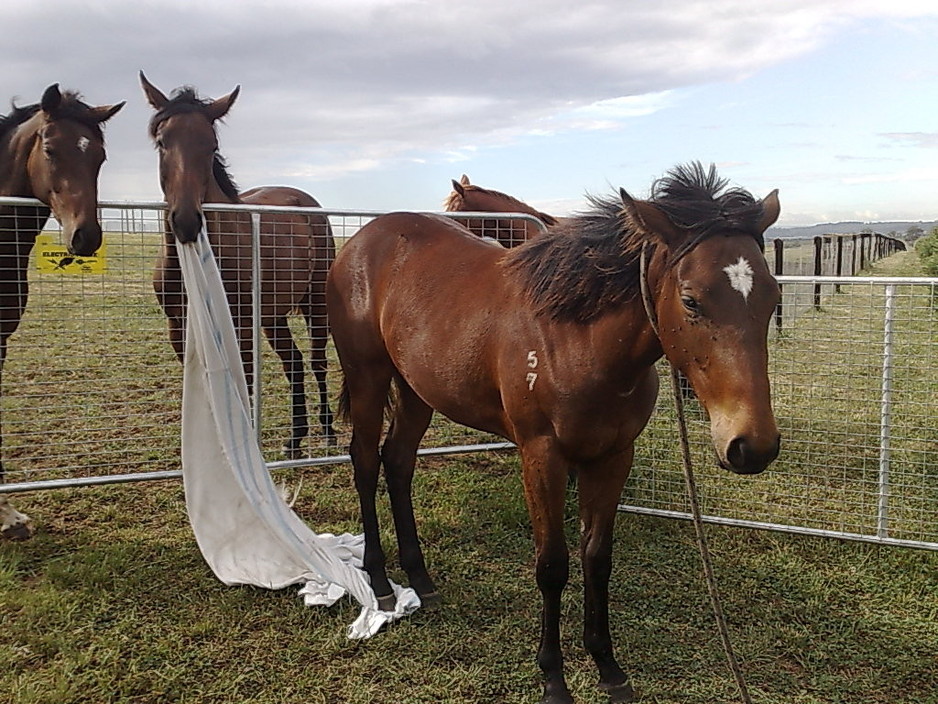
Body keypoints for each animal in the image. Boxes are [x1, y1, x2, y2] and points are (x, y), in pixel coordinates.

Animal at [141, 73, 338, 456]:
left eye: (212, 145)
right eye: (161, 141)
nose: (186, 221)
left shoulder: (241, 327)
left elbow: (244, 385)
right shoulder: (178, 329)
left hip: (315, 304)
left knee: (316, 362)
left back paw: (327, 430)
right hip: (273, 316)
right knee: (293, 363)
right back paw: (294, 438)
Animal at [326, 164, 780, 704]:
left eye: (773, 298)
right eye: (691, 300)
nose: (752, 445)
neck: (576, 338)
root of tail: (362, 240)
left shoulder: (613, 457)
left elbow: (597, 558)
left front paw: (607, 665)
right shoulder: (541, 456)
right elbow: (552, 565)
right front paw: (553, 677)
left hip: (417, 390)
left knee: (397, 462)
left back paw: (420, 575)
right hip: (368, 376)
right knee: (365, 461)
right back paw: (379, 580)